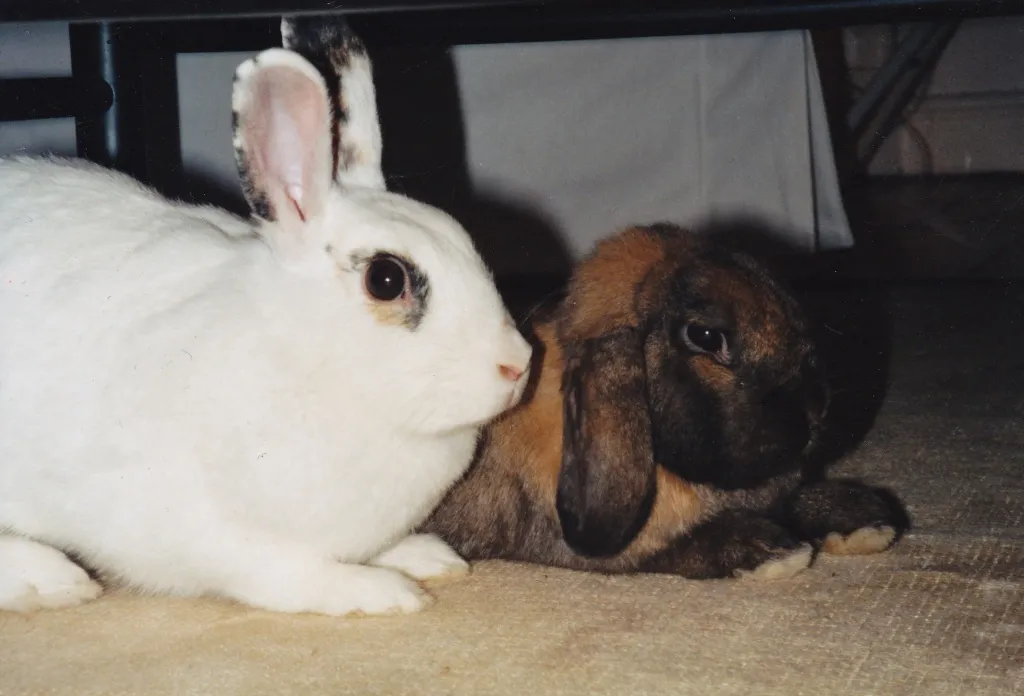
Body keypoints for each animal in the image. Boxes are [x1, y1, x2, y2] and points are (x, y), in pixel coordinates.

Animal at [0, 17, 532, 616]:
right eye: (386, 279)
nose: (518, 365)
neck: (302, 359)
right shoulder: (209, 532)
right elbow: (289, 575)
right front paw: (382, 592)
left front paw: (427, 556)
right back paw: (53, 580)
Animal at [422, 223, 910, 580]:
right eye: (706, 336)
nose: (815, 408)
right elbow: (677, 548)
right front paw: (770, 550)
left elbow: (795, 499)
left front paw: (864, 518)